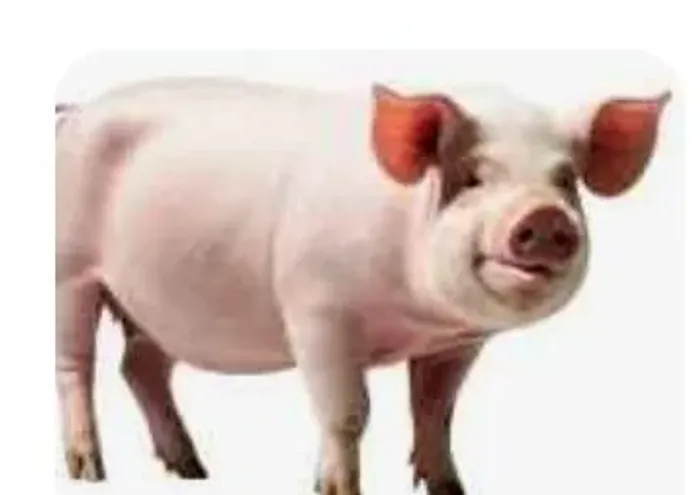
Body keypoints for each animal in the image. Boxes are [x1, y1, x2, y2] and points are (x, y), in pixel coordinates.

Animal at [55, 77, 670, 494]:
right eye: (472, 177)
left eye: (566, 181)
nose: (544, 217)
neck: (416, 316)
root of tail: (78, 112)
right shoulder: (317, 310)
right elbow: (348, 414)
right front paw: (336, 490)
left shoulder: (457, 342)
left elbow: (436, 411)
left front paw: (451, 489)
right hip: (70, 271)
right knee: (76, 367)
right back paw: (89, 471)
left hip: (155, 304)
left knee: (140, 366)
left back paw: (192, 469)